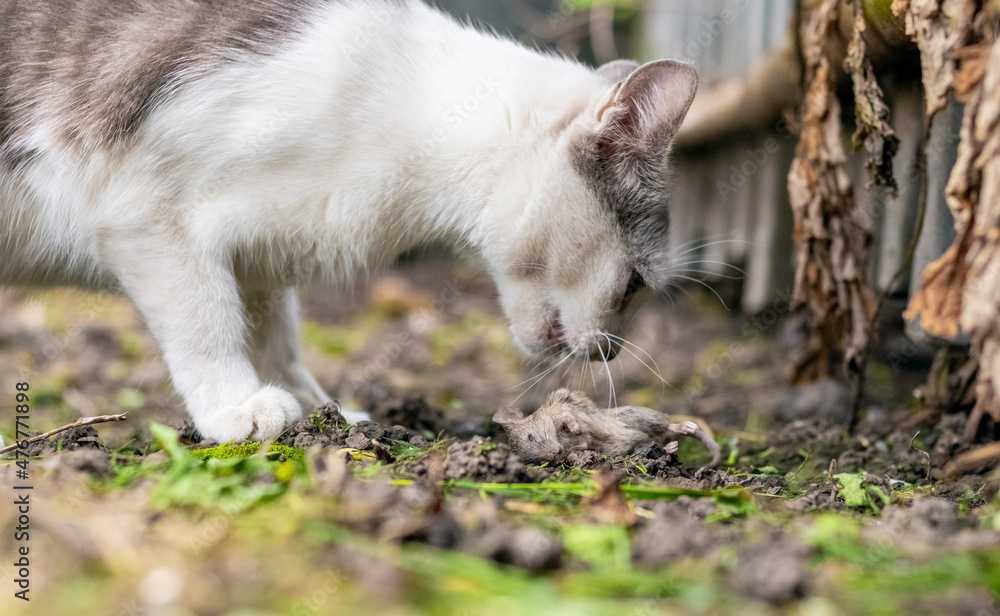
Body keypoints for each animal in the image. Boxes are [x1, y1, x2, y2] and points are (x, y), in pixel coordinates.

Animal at [0, 0, 700, 442]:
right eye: (634, 285)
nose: (612, 350)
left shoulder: (257, 254)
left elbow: (276, 338)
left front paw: (321, 412)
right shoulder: (143, 212)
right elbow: (207, 321)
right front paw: (236, 407)